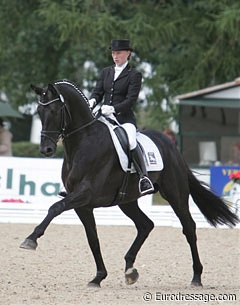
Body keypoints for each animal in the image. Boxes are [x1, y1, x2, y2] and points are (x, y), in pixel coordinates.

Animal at [20, 79, 238, 286]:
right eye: (39, 111)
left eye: (56, 110)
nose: (46, 149)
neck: (83, 142)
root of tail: (171, 146)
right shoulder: (82, 205)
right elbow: (93, 239)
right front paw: (98, 277)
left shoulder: (85, 193)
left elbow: (55, 208)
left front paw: (30, 239)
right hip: (127, 201)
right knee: (145, 225)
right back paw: (130, 270)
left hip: (175, 194)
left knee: (189, 228)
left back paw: (196, 277)